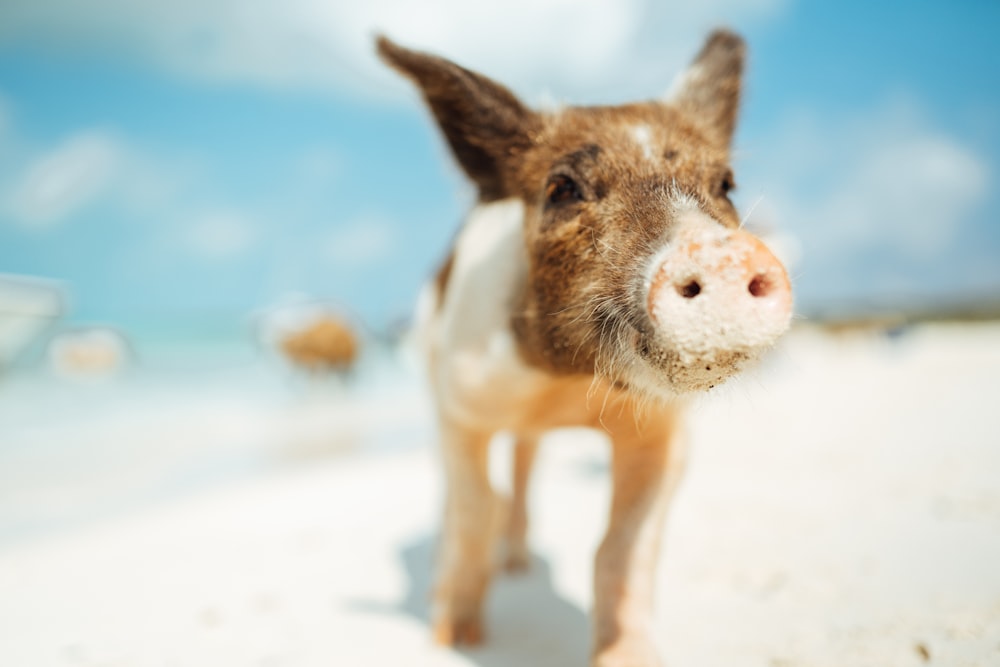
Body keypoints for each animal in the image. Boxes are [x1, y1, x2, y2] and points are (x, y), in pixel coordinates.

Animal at [378, 31, 792, 667]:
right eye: (561, 188)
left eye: (725, 184)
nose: (723, 251)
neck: (568, 387)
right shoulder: (461, 405)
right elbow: (474, 511)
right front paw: (452, 638)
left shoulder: (664, 434)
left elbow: (620, 547)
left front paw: (630, 658)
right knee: (461, 496)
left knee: (525, 466)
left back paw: (519, 565)